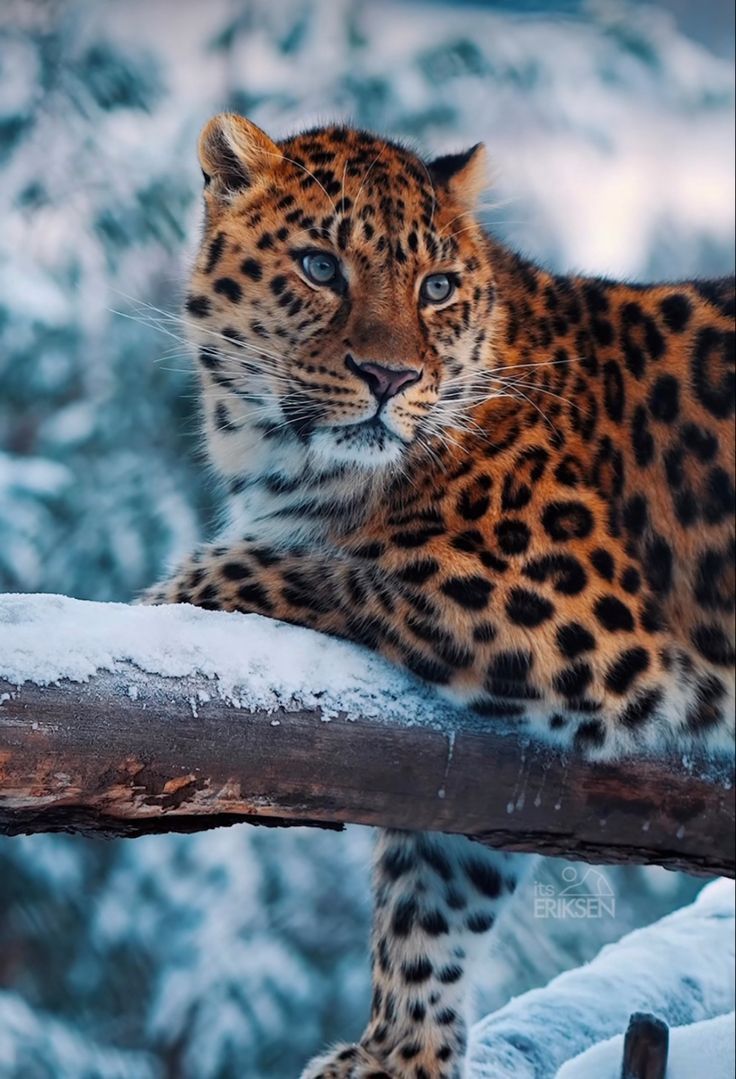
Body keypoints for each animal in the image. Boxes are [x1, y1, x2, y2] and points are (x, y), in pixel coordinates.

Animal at [140, 113, 729, 1074]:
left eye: (438, 286)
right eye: (321, 266)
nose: (390, 379)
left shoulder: (584, 624)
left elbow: (312, 564)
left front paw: (164, 600)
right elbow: (434, 895)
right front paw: (400, 1051)